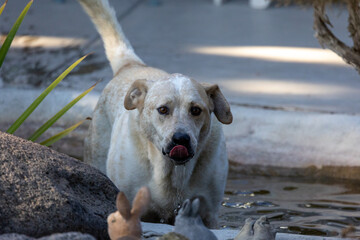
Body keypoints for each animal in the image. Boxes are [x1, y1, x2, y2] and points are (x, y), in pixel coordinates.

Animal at [77, 0, 232, 228]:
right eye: (163, 109)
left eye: (196, 110)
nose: (181, 139)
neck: (171, 173)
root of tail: (131, 65)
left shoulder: (209, 213)